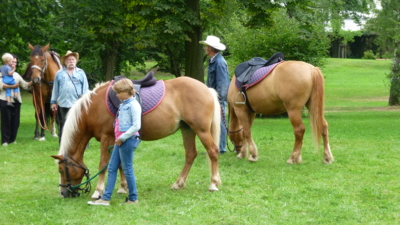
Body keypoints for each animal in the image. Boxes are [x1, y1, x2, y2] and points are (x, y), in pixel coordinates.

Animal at [50, 76, 222, 199]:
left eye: (61, 170)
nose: (63, 193)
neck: (93, 108)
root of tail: (206, 88)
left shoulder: (107, 138)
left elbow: (103, 164)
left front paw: (98, 191)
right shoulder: (118, 140)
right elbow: (120, 163)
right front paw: (123, 187)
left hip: (201, 130)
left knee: (213, 151)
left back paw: (213, 184)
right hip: (187, 130)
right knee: (190, 154)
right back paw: (178, 183)